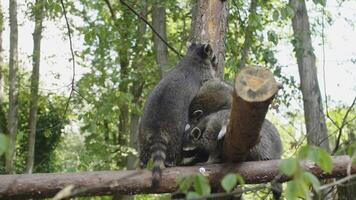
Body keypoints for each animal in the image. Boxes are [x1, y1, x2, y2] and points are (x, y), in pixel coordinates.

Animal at [138, 42, 217, 188]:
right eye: (213, 54)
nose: (217, 61)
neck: (193, 56)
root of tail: (156, 128)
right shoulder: (204, 76)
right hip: (175, 128)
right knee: (174, 147)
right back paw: (170, 162)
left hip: (143, 131)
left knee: (144, 150)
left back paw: (142, 163)